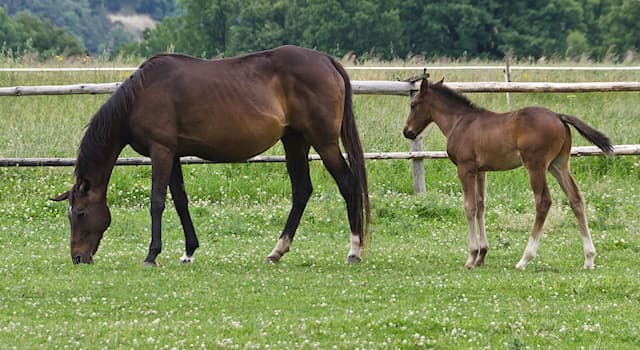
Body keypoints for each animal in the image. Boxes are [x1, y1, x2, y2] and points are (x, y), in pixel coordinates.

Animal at [53, 45, 372, 266]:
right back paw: (276, 251)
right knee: (302, 190)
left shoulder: (161, 151)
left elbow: (157, 202)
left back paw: (354, 250)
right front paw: (188, 251)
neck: (139, 96)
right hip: (295, 141)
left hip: (324, 142)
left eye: (80, 213)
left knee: (347, 184)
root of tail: (328, 61)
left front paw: (152, 255)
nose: (78, 258)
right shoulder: (173, 154)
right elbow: (180, 200)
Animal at [402, 78, 612, 270]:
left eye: (413, 105)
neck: (459, 122)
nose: (407, 132)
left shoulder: (465, 168)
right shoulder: (481, 171)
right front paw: (482, 256)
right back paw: (589, 258)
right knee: (575, 198)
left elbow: (469, 207)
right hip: (558, 164)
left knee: (543, 201)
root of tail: (558, 116)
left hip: (536, 165)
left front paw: (471, 257)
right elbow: (481, 206)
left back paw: (525, 259)